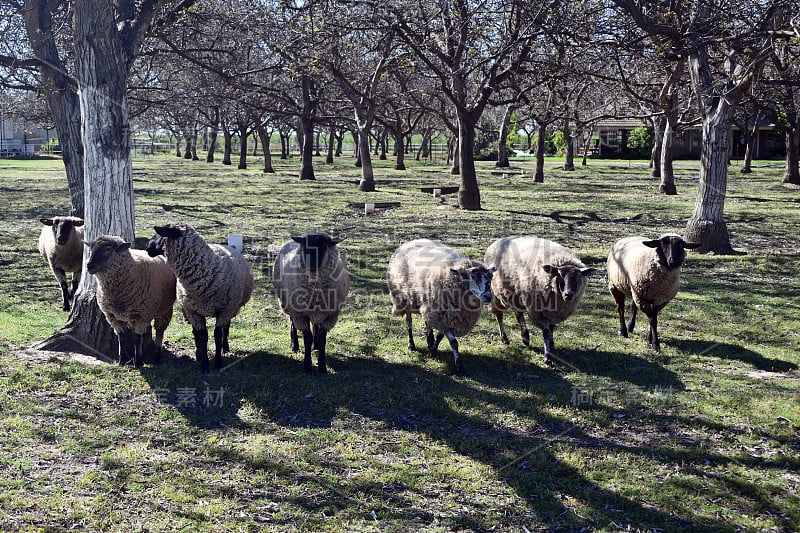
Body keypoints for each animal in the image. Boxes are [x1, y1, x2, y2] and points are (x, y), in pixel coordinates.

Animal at [85, 236, 177, 366]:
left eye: (108, 249)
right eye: (91, 248)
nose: (89, 266)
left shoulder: (141, 315)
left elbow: (137, 338)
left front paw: (138, 362)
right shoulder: (112, 316)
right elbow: (121, 337)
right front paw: (122, 361)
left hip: (164, 310)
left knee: (159, 331)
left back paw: (157, 357)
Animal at [148, 222, 252, 372]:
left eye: (161, 233)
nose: (148, 248)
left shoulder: (224, 310)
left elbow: (217, 335)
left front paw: (218, 362)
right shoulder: (193, 312)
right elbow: (202, 337)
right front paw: (204, 365)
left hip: (232, 307)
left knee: (226, 327)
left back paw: (225, 347)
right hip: (189, 310)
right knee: (196, 333)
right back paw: (199, 354)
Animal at [274, 231, 348, 372]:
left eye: (324, 246)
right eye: (305, 247)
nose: (312, 266)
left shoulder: (331, 315)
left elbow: (322, 338)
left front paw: (322, 366)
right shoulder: (300, 313)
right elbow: (307, 338)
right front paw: (307, 366)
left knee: (315, 326)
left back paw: (316, 346)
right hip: (289, 305)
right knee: (293, 324)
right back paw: (295, 346)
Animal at [388, 239, 494, 372]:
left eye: (491, 278)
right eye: (473, 277)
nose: (488, 296)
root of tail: (410, 242)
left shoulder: (446, 317)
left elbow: (440, 336)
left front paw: (433, 351)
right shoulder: (443, 314)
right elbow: (454, 342)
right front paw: (459, 366)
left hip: (428, 303)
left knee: (427, 321)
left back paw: (429, 340)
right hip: (405, 298)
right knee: (409, 322)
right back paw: (411, 344)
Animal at [482, 237, 592, 366]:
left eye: (578, 277)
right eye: (560, 276)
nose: (568, 295)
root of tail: (497, 241)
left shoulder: (553, 312)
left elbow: (551, 329)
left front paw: (551, 345)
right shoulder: (538, 311)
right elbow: (546, 332)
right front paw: (547, 357)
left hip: (517, 295)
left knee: (518, 314)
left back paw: (525, 337)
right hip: (496, 294)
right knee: (499, 315)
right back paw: (505, 338)